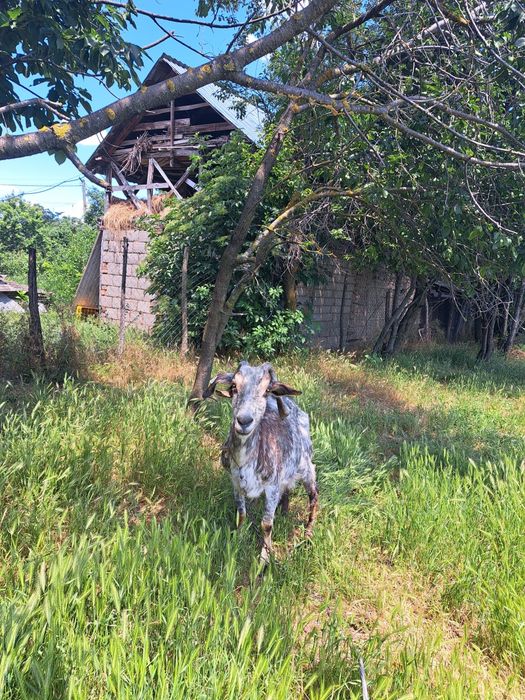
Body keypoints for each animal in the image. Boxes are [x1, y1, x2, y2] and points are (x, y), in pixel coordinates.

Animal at [204, 361, 318, 562]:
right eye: (234, 387)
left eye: (266, 391)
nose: (244, 420)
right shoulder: (236, 482)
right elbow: (241, 515)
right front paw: (238, 538)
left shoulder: (272, 487)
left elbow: (266, 524)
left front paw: (264, 559)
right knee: (287, 491)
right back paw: (284, 513)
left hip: (307, 469)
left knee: (313, 497)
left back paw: (308, 533)